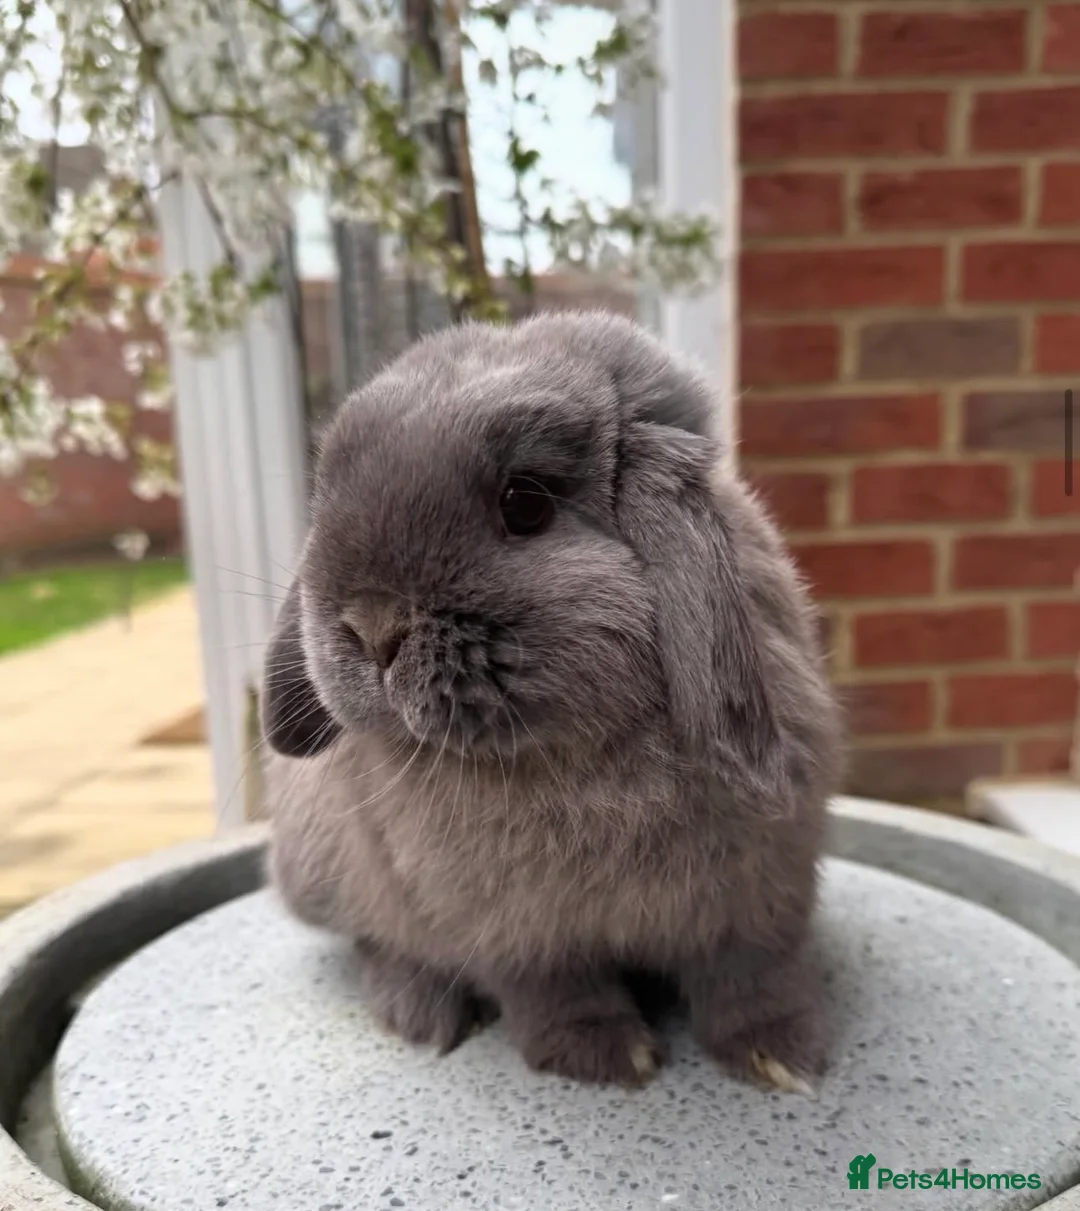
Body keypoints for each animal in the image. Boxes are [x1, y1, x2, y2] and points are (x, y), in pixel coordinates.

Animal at [261, 310, 844, 1093]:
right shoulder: (520, 935)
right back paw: (418, 1011)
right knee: (375, 940)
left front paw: (782, 1057)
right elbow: (556, 990)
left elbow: (752, 978)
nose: (371, 625)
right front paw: (607, 1057)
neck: (574, 750)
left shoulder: (761, 898)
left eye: (526, 502)